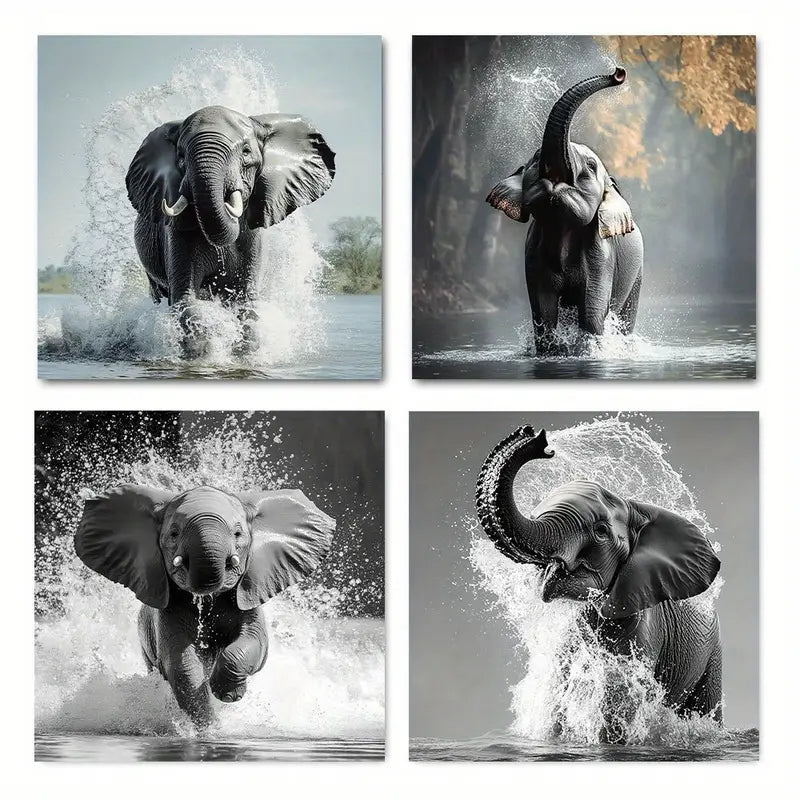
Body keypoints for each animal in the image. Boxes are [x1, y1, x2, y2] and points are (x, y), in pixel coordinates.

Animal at [74, 484, 334, 727]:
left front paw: (227, 695)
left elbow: (255, 643)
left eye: (238, 534)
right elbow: (181, 665)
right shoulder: (166, 612)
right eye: (174, 534)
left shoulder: (248, 597)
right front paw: (209, 727)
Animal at [125, 105, 335, 351]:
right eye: (181, 157)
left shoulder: (253, 239)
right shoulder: (176, 233)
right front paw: (206, 345)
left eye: (246, 152)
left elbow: (245, 302)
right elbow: (186, 300)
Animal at [486, 68, 644, 353]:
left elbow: (592, 314)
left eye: (591, 166)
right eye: (535, 160)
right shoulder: (533, 253)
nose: (619, 73)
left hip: (637, 273)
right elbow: (544, 312)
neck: (562, 229)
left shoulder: (601, 255)